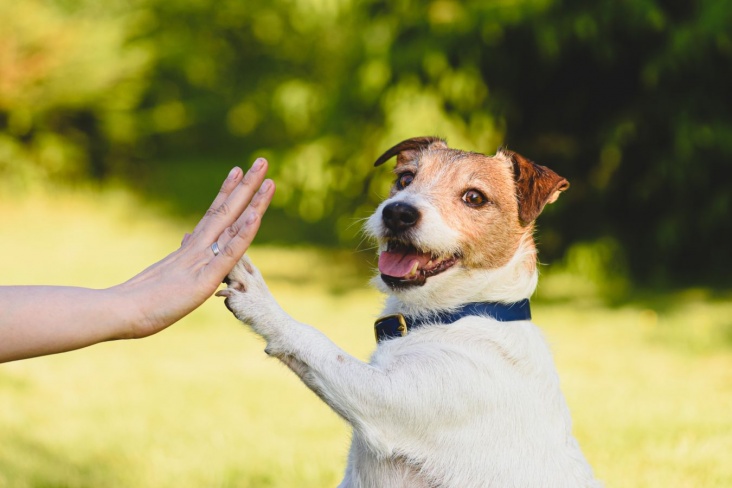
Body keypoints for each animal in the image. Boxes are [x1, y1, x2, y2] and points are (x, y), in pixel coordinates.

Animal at [216, 137, 600, 488]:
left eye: (474, 197)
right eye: (405, 179)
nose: (397, 212)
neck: (456, 316)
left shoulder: (383, 400)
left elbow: (312, 340)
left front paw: (257, 298)